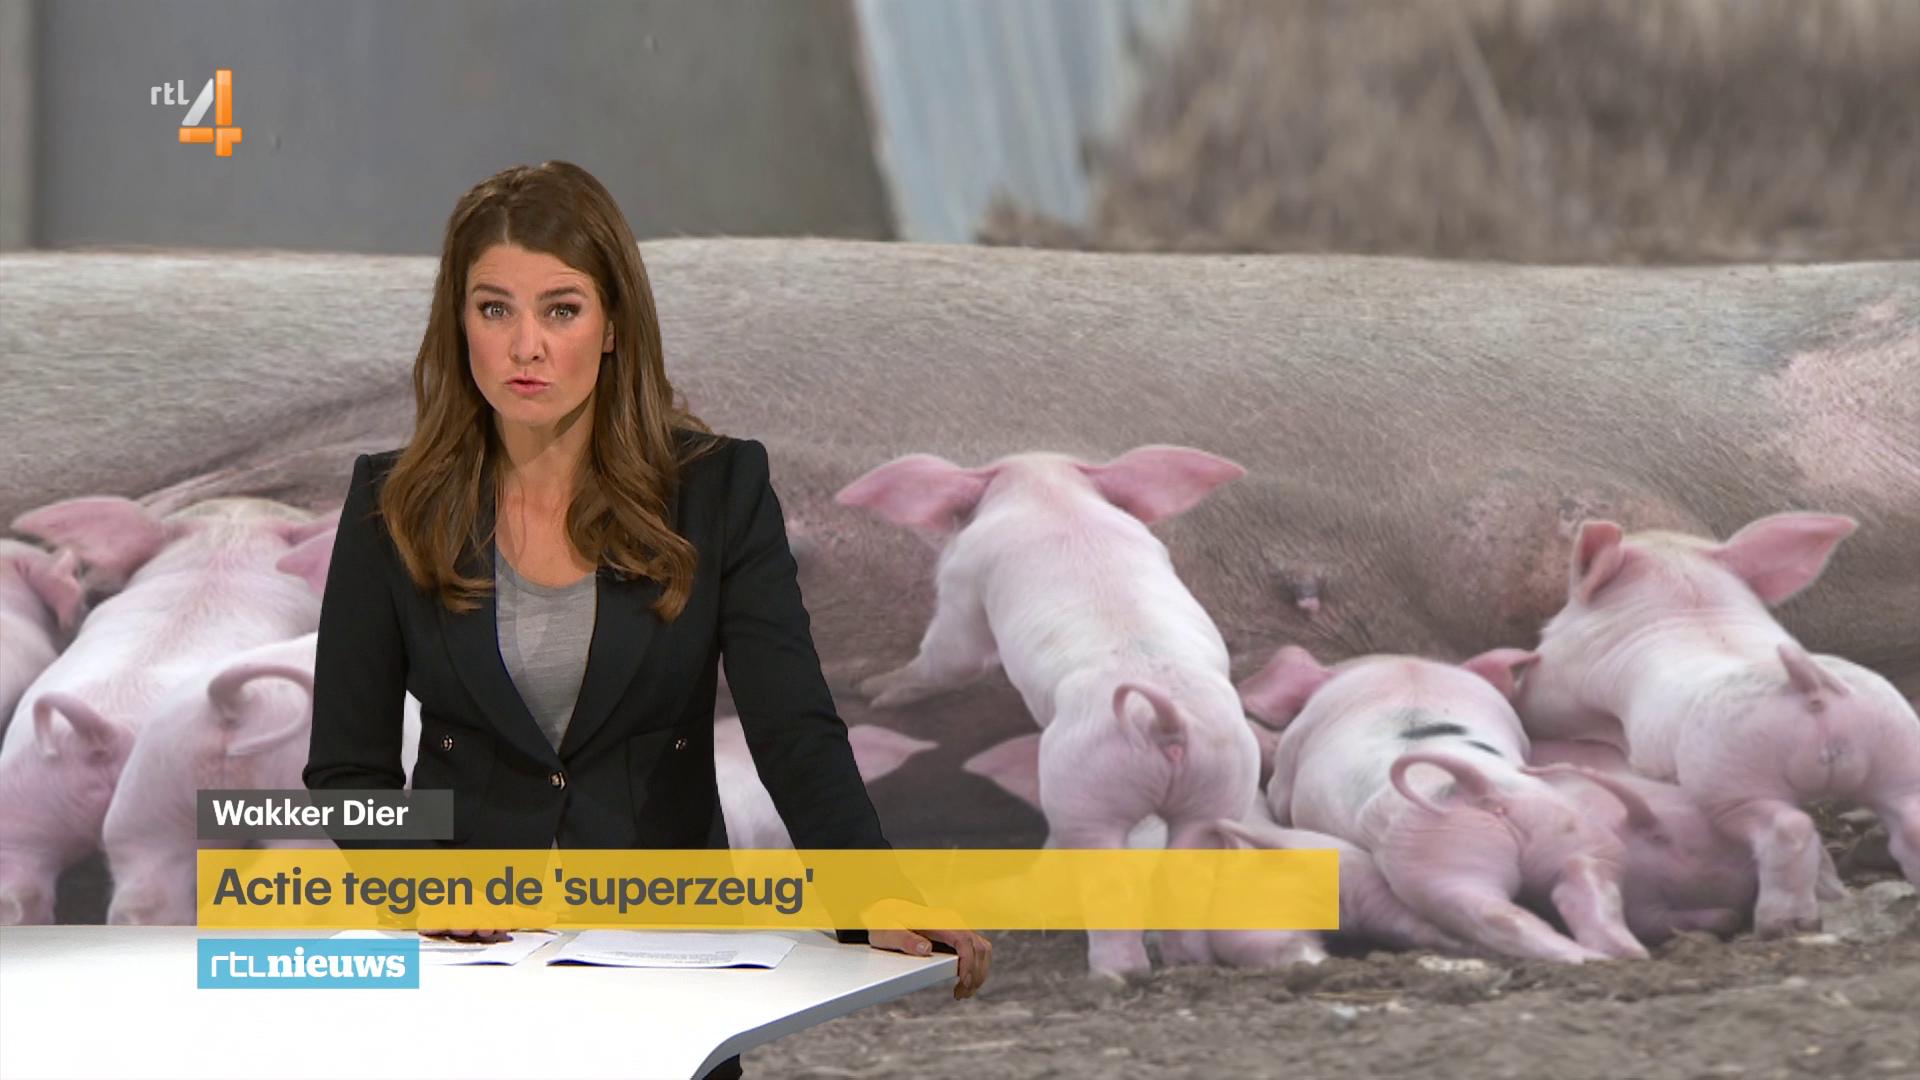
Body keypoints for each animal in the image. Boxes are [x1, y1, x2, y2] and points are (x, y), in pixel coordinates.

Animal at [838, 446, 1263, 980]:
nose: (860, 689)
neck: (1051, 495)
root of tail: (1164, 721)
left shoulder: (964, 578)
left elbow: (952, 657)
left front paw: (872, 691)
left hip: (1085, 787)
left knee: (1107, 883)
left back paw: (1114, 976)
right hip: (1221, 785)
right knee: (1187, 872)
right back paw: (1186, 965)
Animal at [1244, 645, 1648, 963]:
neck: (1404, 671)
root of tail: (1481, 786)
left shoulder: (1291, 759)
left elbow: (1280, 792)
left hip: (1436, 857)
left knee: (1498, 916)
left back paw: (1586, 958)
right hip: (1567, 827)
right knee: (1588, 879)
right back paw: (1624, 953)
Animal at [1513, 514, 1920, 936]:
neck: (1692, 601)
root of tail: (1811, 683)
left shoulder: (1557, 682)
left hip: (1731, 778)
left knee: (1788, 827)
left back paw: (1781, 925)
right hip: (1897, 747)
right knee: (1911, 822)